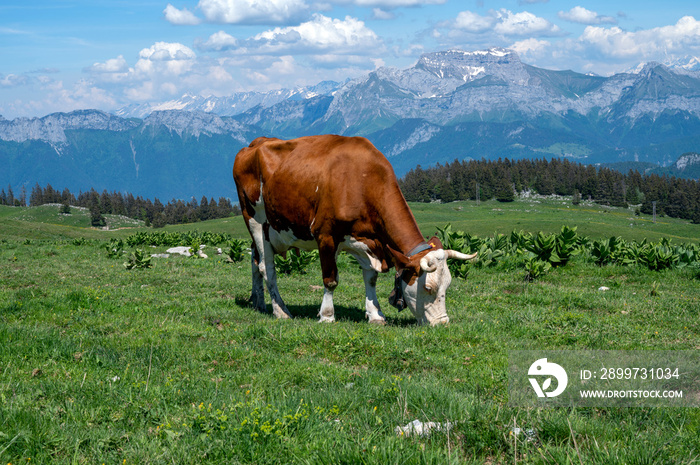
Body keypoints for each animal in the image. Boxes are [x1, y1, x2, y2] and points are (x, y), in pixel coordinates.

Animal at [232, 133, 478, 322]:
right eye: (428, 288)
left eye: (447, 286)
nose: (442, 323)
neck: (361, 178)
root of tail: (254, 144)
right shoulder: (326, 235)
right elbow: (330, 279)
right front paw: (327, 316)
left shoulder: (369, 241)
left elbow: (371, 278)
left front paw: (376, 314)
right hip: (254, 220)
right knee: (267, 267)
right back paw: (280, 311)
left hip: (268, 231)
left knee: (255, 260)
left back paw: (259, 302)